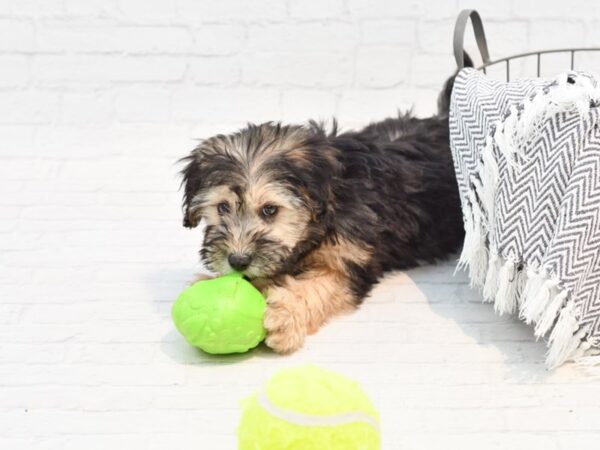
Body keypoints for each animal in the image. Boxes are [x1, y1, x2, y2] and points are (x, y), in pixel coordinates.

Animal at [180, 77, 466, 354]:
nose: (238, 261)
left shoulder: (350, 262)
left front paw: (286, 315)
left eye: (270, 209)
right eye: (222, 207)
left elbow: (319, 285)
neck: (330, 202)